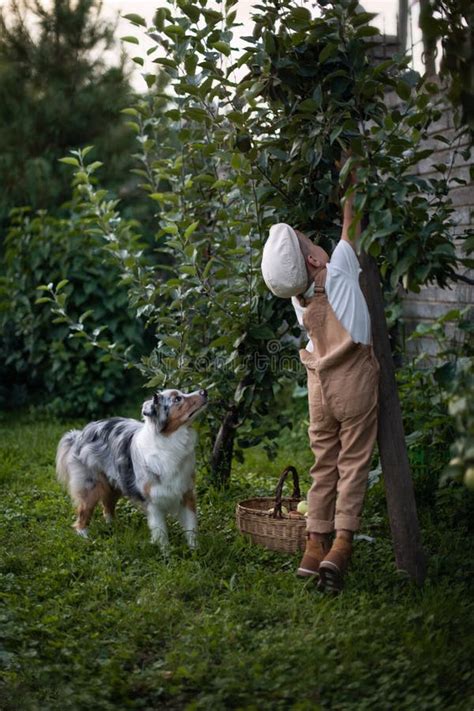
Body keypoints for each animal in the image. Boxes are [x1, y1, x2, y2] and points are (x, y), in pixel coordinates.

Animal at [55, 390, 207, 552]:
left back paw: (113, 526)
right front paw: (166, 554)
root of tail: (80, 433)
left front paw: (195, 551)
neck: (170, 442)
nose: (204, 391)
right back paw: (84, 536)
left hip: (116, 483)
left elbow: (191, 528)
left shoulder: (186, 492)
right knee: (83, 514)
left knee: (107, 507)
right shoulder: (153, 503)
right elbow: (161, 533)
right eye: (177, 399)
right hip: (90, 487)